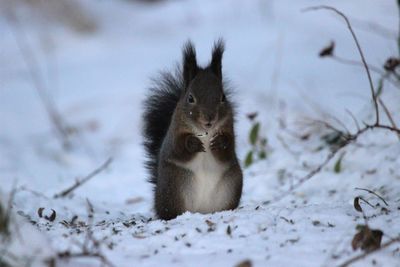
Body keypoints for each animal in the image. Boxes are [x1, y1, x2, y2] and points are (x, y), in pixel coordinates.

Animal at [144, 39, 244, 220]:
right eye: (190, 98)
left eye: (223, 97)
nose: (209, 118)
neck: (206, 132)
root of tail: (201, 211)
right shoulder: (174, 134)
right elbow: (178, 149)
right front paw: (193, 143)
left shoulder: (229, 128)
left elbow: (228, 150)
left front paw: (219, 143)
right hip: (175, 186)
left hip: (232, 183)